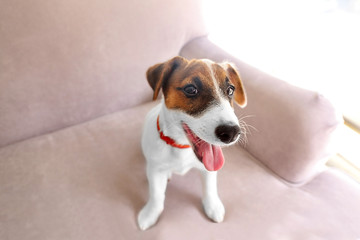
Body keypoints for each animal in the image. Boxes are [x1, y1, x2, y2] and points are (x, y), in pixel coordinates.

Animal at [138, 56, 248, 231]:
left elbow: (210, 188)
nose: (232, 133)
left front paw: (213, 206)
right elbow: (156, 195)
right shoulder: (155, 170)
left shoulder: (209, 169)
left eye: (231, 90)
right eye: (191, 89)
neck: (181, 147)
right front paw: (150, 214)